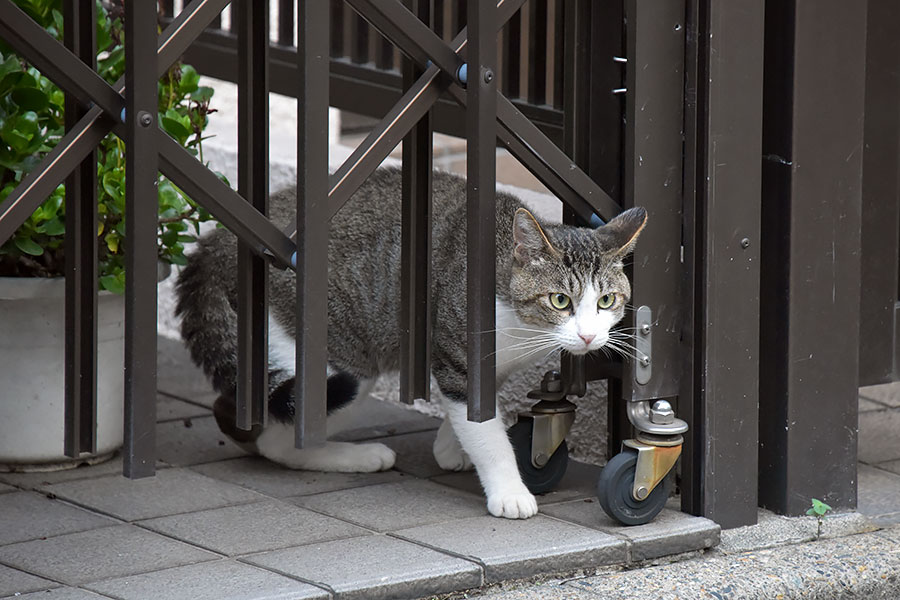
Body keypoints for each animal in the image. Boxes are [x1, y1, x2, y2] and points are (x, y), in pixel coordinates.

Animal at [176, 166, 644, 516]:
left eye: (606, 301)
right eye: (560, 300)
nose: (588, 335)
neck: (520, 325)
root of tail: (216, 242)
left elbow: (478, 412)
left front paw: (450, 446)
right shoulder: (458, 356)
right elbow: (487, 433)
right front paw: (509, 491)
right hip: (339, 359)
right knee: (276, 434)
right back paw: (359, 457)